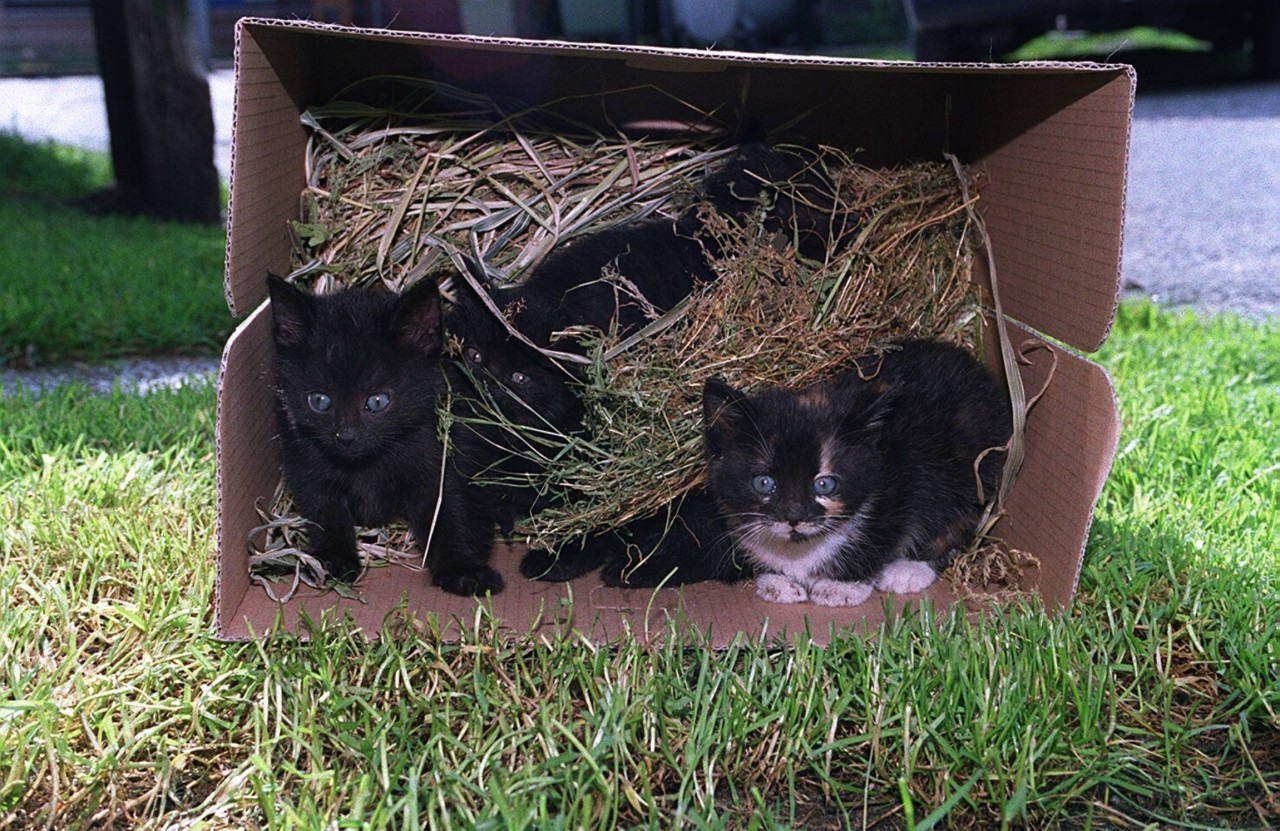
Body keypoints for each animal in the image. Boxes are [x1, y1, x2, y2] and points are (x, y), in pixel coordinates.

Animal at [264, 275, 499, 594]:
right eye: (320, 401)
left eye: (377, 401)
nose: (346, 436)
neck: (365, 465)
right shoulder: (304, 461)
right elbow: (324, 508)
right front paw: (334, 559)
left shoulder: (439, 462)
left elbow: (446, 513)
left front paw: (462, 569)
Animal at [586, 338, 1008, 601]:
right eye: (763, 482)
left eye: (825, 484)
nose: (794, 517)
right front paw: (778, 581)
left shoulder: (902, 479)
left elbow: (884, 531)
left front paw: (842, 587)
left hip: (975, 465)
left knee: (957, 517)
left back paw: (908, 571)